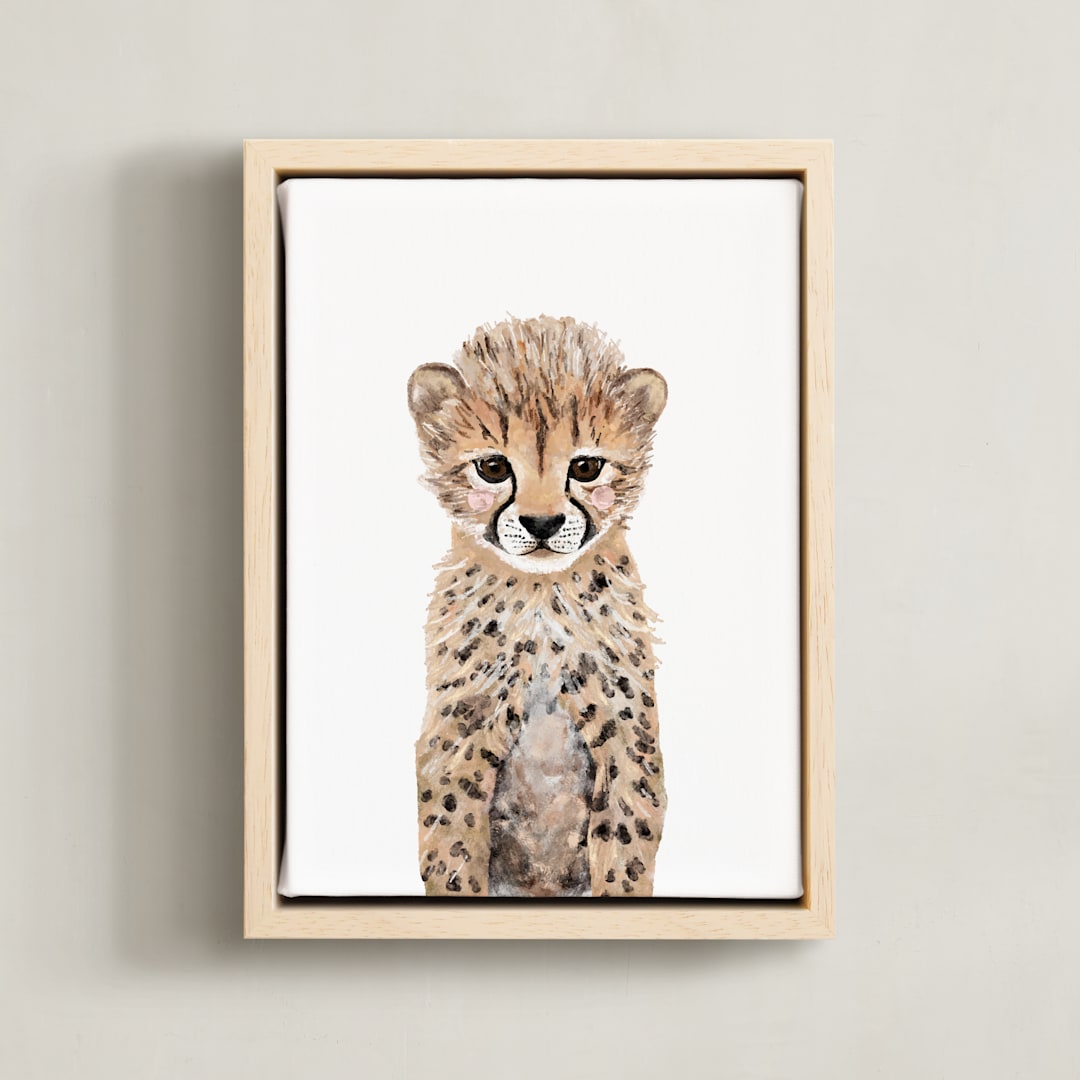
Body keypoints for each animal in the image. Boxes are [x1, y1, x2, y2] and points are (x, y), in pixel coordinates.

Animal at [407, 315, 667, 897]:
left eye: (587, 467)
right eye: (492, 467)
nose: (543, 524)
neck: (541, 598)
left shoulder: (626, 735)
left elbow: (625, 842)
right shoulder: (460, 731)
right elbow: (453, 845)